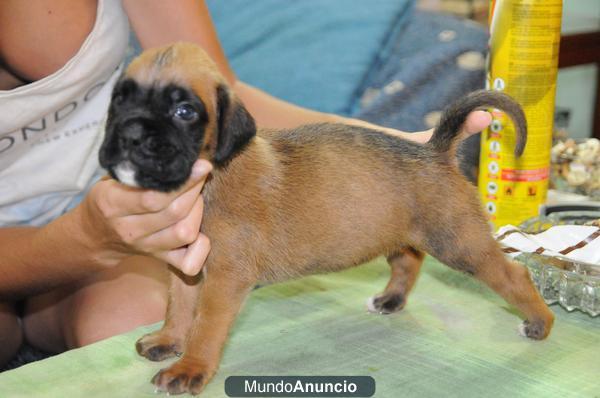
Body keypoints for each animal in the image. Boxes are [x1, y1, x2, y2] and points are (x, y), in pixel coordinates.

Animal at [98, 42, 552, 396]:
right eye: (120, 98)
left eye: (185, 111)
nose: (130, 136)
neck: (210, 178)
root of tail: (435, 151)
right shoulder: (186, 265)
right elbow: (178, 306)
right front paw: (169, 340)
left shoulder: (225, 280)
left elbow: (206, 325)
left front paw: (190, 368)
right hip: (400, 233)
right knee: (409, 260)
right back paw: (391, 299)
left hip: (459, 242)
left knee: (512, 275)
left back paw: (539, 322)